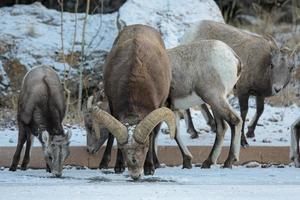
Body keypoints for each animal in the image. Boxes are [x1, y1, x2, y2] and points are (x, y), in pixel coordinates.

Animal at [89, 24, 178, 180]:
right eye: (123, 149)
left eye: (144, 147)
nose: (135, 173)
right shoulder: (113, 107)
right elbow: (112, 136)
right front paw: (118, 166)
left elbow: (153, 135)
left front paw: (150, 168)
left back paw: (156, 163)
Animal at [168, 39, 243, 168]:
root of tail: (234, 57)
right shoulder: (173, 109)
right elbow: (175, 132)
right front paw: (186, 162)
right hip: (216, 103)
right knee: (222, 127)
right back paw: (208, 162)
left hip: (215, 99)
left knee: (235, 121)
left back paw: (228, 161)